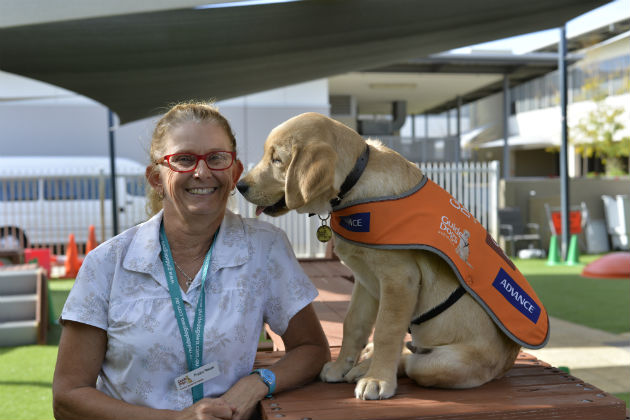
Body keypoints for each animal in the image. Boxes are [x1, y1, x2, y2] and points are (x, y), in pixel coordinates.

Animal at [237, 112, 524, 400]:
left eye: (277, 160)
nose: (240, 185)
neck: (354, 185)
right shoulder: (364, 281)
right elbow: (353, 324)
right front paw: (341, 366)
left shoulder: (399, 281)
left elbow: (386, 331)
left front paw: (377, 379)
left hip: (448, 363)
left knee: (412, 362)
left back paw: (366, 370)